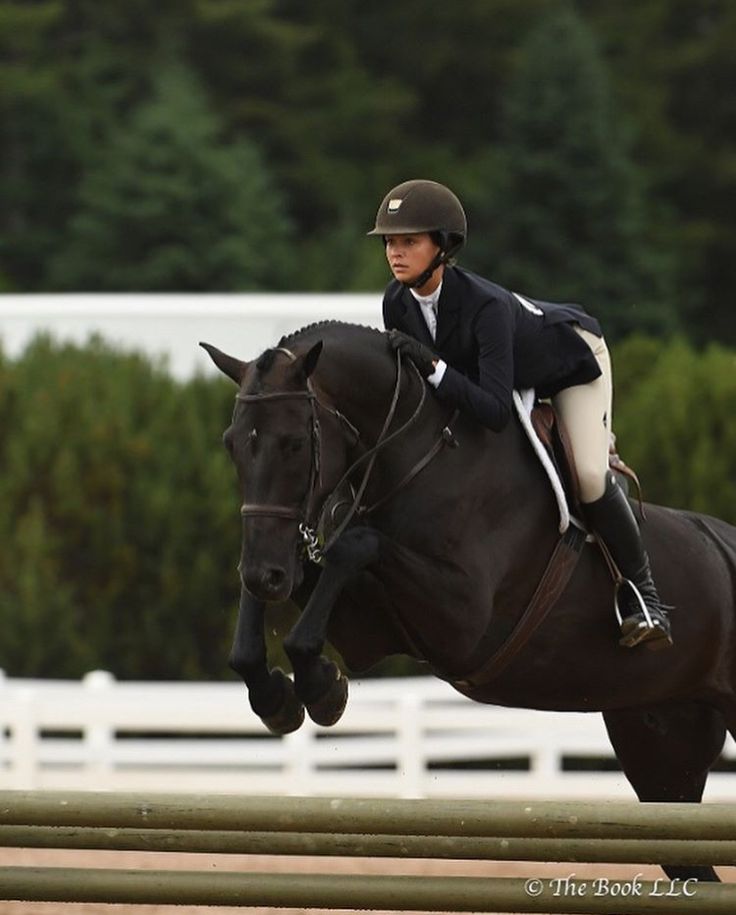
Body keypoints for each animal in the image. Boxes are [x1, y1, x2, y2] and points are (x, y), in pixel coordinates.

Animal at [201, 324, 736, 888]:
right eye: (232, 445)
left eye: (295, 443)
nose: (265, 573)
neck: (413, 458)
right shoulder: (366, 628)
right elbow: (306, 588)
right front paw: (282, 694)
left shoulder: (460, 620)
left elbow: (355, 545)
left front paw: (321, 686)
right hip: (661, 746)